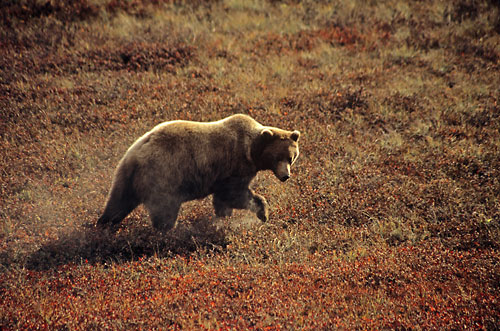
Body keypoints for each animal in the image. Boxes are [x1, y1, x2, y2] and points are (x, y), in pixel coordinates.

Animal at [98, 115, 300, 232]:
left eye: (291, 158)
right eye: (278, 157)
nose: (286, 176)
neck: (252, 150)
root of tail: (138, 152)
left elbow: (222, 200)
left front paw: (222, 217)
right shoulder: (235, 165)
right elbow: (234, 194)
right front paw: (263, 212)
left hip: (126, 174)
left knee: (119, 200)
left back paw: (104, 222)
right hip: (164, 174)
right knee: (165, 208)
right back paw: (168, 231)